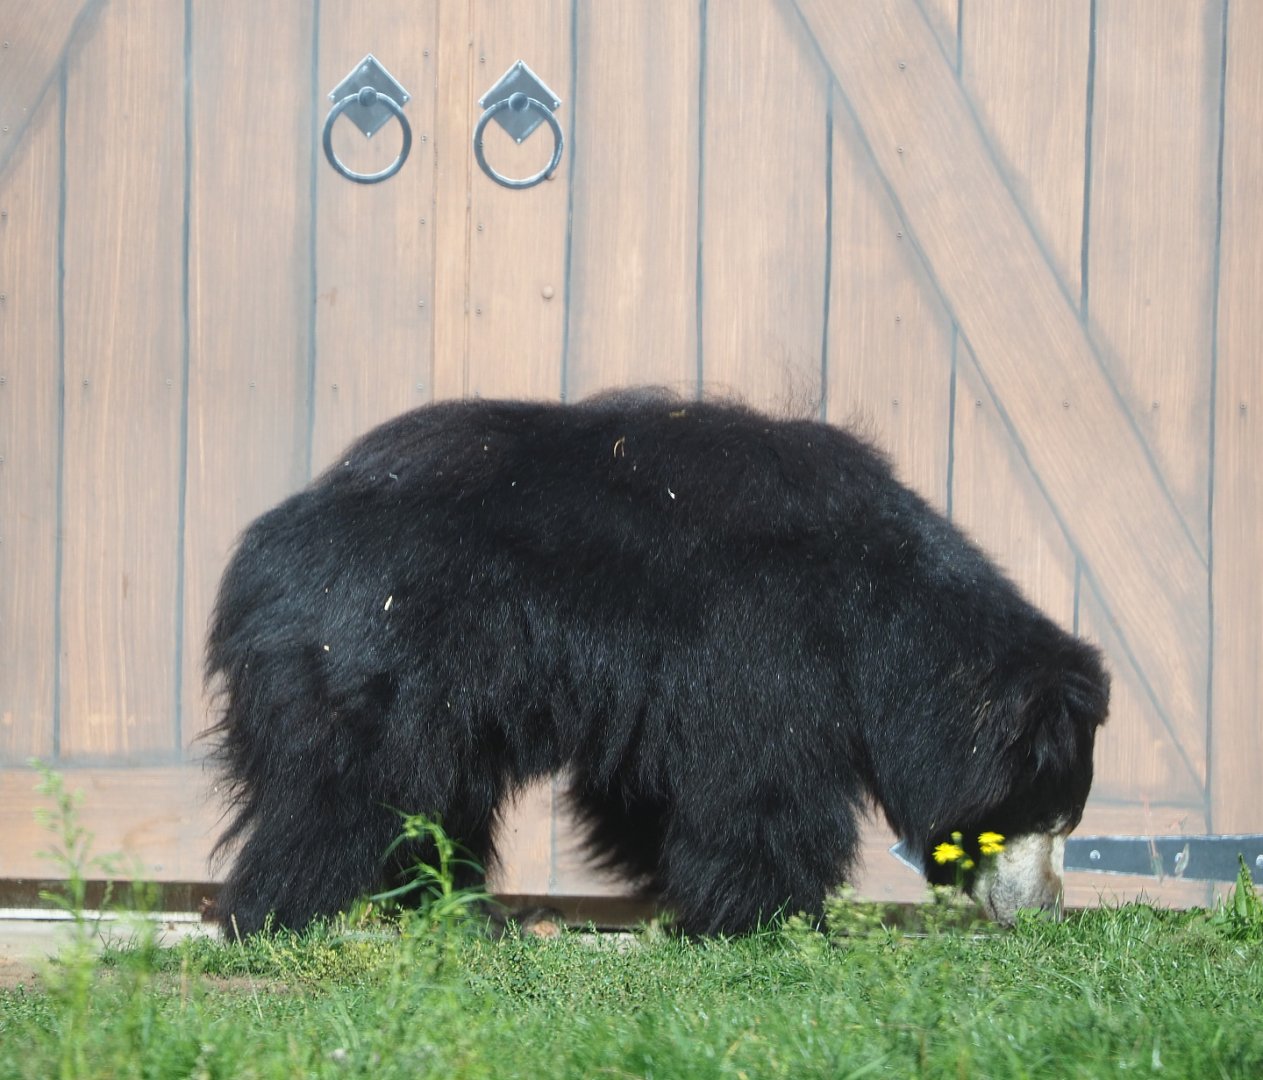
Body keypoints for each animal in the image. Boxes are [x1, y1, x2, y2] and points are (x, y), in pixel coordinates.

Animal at [205, 390, 1109, 936]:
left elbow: (648, 785)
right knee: (338, 792)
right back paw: (277, 917)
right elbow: (761, 782)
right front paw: (770, 920)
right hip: (375, 654)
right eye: (1042, 816)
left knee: (432, 801)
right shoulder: (765, 640)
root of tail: (261, 549)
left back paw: (443, 906)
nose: (1045, 911)